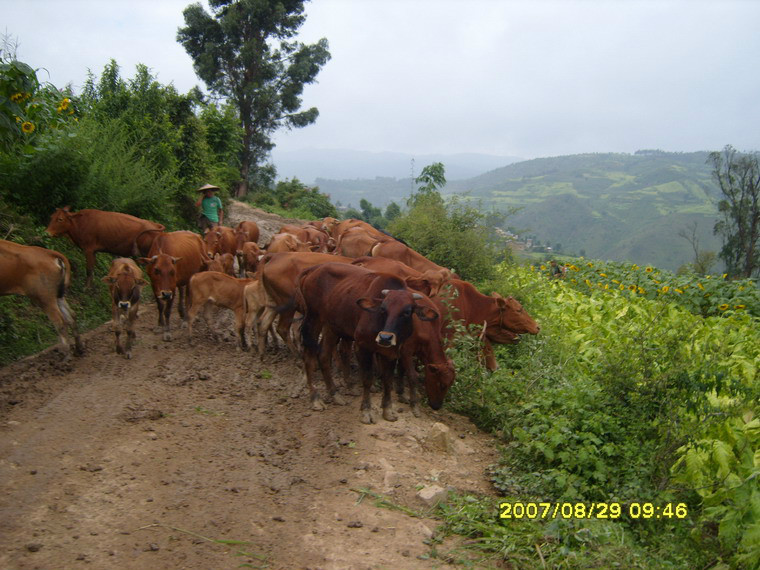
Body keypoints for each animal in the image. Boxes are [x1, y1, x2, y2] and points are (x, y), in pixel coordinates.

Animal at [294, 262, 452, 422]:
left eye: (407, 312)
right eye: (383, 309)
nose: (385, 338)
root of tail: (314, 268)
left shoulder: (393, 352)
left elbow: (388, 379)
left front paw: (388, 410)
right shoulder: (362, 346)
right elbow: (367, 378)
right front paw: (366, 411)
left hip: (332, 326)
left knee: (324, 355)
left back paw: (335, 394)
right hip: (313, 318)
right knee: (309, 356)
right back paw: (315, 399)